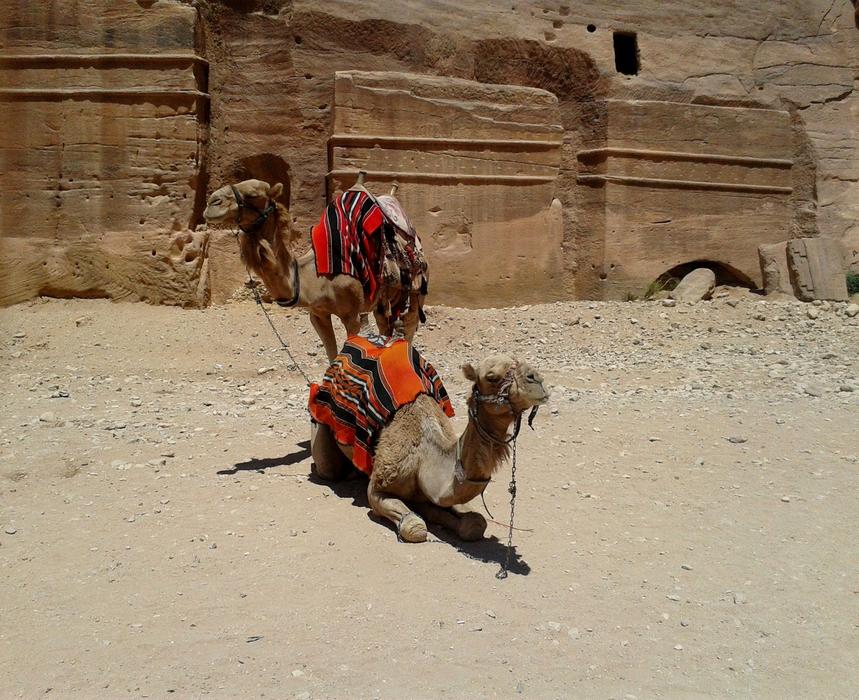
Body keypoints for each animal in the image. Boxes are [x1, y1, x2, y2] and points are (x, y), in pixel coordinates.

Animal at [202, 177, 425, 362]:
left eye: (253, 194)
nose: (211, 203)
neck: (312, 277)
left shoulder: (351, 314)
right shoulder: (317, 314)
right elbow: (332, 356)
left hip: (415, 291)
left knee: (409, 328)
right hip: (382, 302)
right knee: (385, 326)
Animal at [310, 352, 549, 543]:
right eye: (492, 376)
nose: (537, 379)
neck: (425, 456)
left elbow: (475, 523)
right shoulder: (377, 488)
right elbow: (415, 526)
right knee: (328, 466)